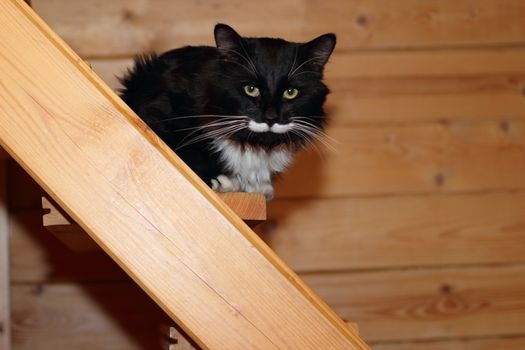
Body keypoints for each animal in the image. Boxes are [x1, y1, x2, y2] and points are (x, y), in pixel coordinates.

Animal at [118, 23, 334, 200]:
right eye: (250, 89)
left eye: (291, 92)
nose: (271, 117)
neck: (253, 144)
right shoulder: (154, 113)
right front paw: (221, 179)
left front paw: (259, 187)